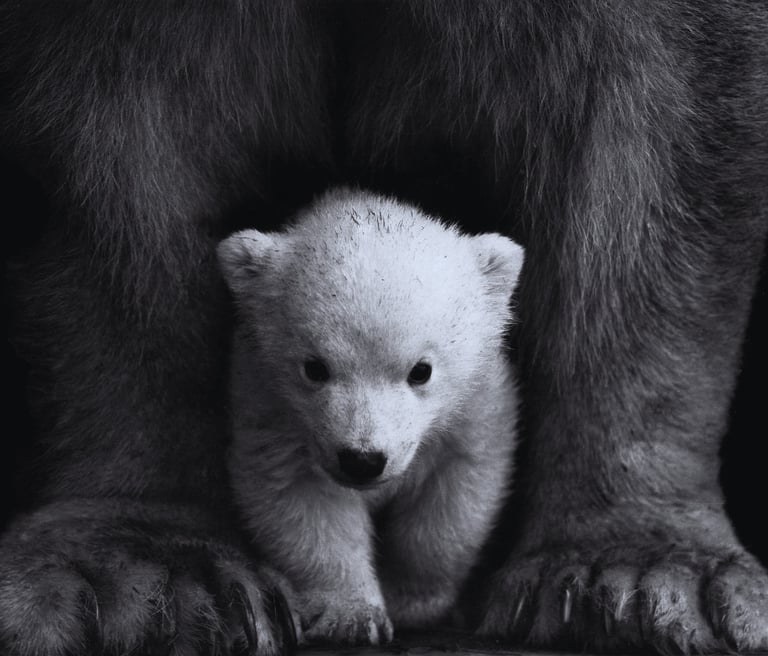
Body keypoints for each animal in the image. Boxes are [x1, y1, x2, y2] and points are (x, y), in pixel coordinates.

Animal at [217, 187, 523, 645]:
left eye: (421, 370)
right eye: (315, 367)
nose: (362, 460)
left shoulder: (476, 407)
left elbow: (454, 497)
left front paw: (413, 602)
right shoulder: (270, 407)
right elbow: (302, 500)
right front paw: (353, 616)